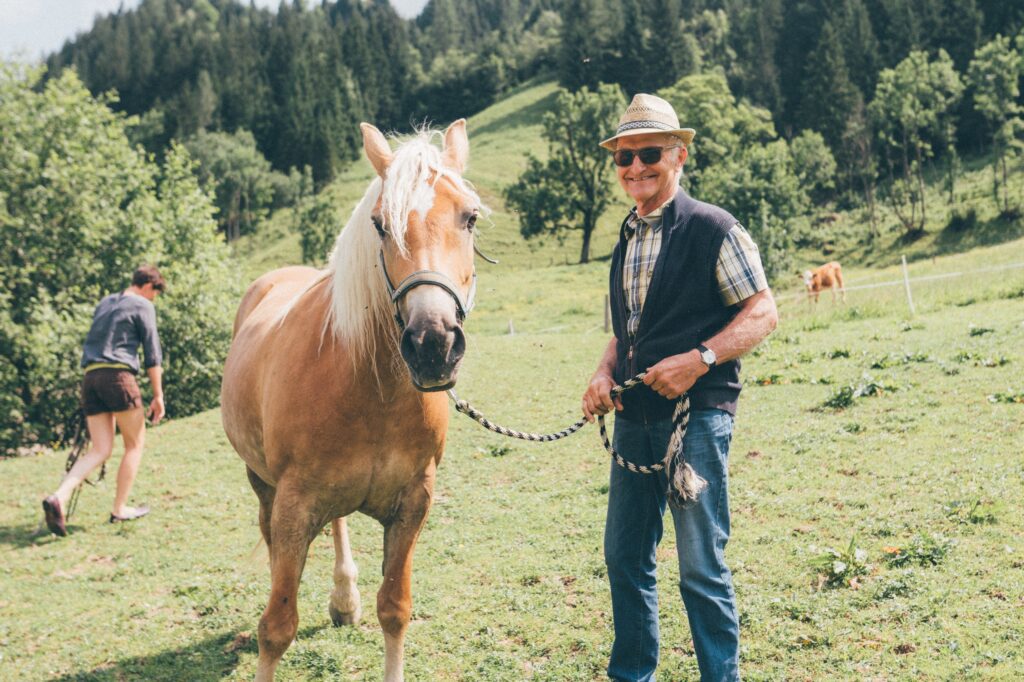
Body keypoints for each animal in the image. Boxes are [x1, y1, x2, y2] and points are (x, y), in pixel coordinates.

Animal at [221, 119, 483, 675]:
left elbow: (395, 609)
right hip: (261, 481)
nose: (433, 343)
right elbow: (276, 627)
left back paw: (344, 598)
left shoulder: (414, 502)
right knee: (271, 537)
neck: (372, 391)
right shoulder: (294, 505)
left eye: (469, 218)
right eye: (381, 225)